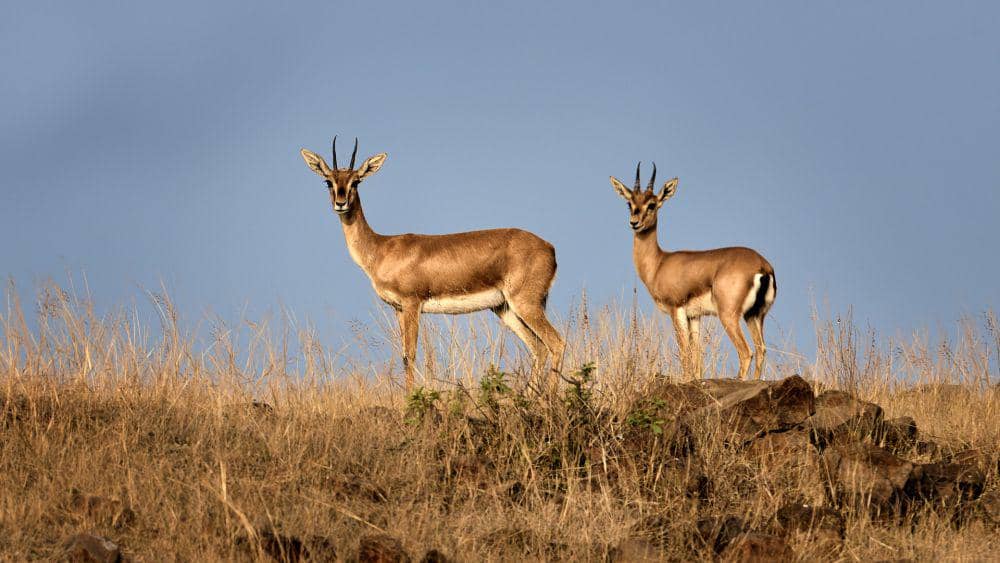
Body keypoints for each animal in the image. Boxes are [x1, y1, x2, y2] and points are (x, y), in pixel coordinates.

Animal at [300, 137, 565, 389]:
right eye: (328, 181)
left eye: (356, 181)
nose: (340, 203)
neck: (381, 249)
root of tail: (549, 247)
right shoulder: (398, 309)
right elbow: (403, 356)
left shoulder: (412, 304)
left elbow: (410, 356)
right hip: (505, 309)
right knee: (539, 348)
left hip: (525, 303)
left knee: (557, 343)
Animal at [610, 163, 776, 380]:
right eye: (629, 203)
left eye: (652, 204)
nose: (634, 222)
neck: (659, 263)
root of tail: (762, 265)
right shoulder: (694, 316)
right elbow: (696, 354)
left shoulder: (676, 310)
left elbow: (684, 351)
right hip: (754, 316)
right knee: (761, 349)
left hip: (729, 316)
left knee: (746, 351)